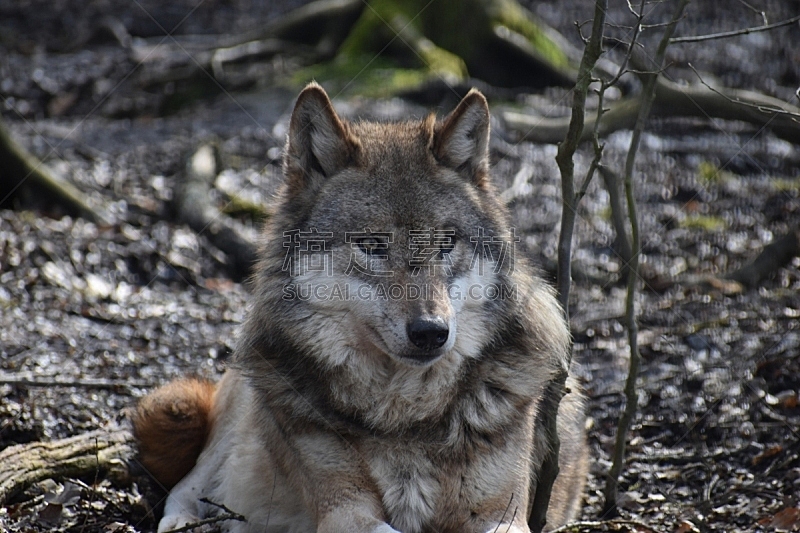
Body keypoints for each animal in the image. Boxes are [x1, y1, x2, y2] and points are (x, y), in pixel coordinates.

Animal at [134, 82, 588, 532]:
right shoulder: (344, 509)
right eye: (372, 245)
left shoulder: (501, 515)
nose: (431, 332)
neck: (406, 416)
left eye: (446, 243)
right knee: (185, 486)